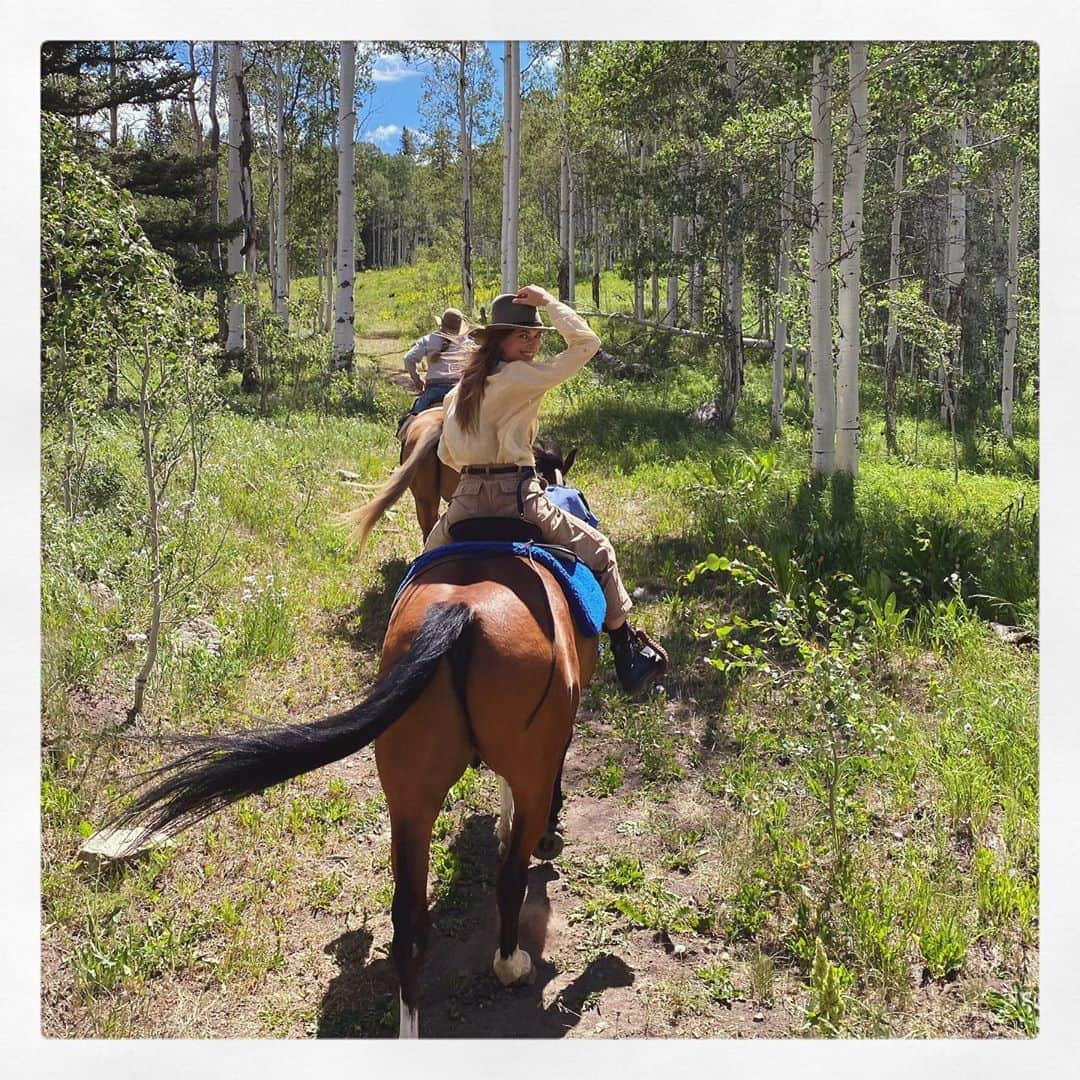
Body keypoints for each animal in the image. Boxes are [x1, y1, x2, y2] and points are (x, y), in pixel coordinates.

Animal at [104, 548, 600, 1036]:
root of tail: (462, 613)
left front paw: (502, 822)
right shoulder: (548, 755)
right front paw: (540, 834)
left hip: (410, 799)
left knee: (409, 924)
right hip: (511, 775)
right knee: (509, 877)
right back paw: (512, 964)